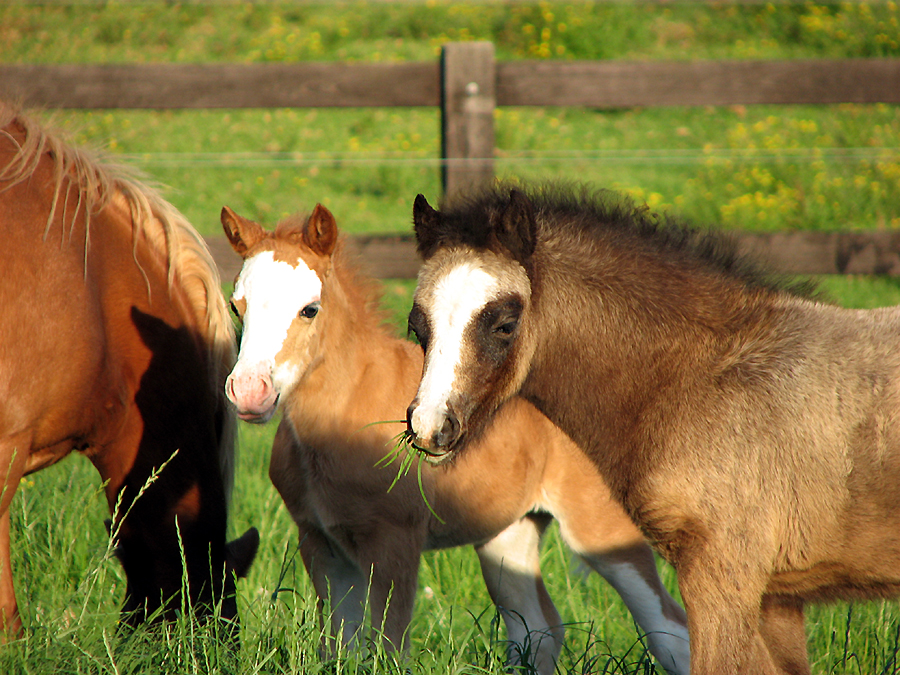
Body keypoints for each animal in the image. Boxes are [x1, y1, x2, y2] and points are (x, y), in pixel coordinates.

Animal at [220, 203, 691, 674]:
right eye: (236, 307)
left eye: (310, 309)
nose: (250, 391)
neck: (346, 409)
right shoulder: (320, 541)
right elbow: (340, 650)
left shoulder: (395, 543)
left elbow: (390, 649)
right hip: (507, 533)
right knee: (537, 632)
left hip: (601, 527)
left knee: (669, 631)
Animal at [405, 181, 900, 674]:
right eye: (417, 326)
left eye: (505, 325)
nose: (430, 427)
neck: (696, 379)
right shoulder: (777, 600)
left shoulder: (723, 577)